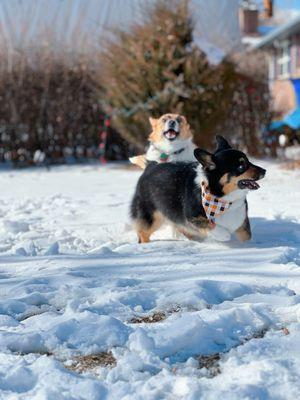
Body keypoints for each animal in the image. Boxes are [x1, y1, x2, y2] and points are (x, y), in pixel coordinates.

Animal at [130, 136, 266, 242]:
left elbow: (246, 235)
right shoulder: (192, 217)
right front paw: (223, 236)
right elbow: (214, 227)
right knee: (143, 233)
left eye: (248, 161)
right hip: (153, 217)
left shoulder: (241, 221)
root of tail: (150, 166)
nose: (264, 171)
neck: (222, 198)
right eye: (241, 166)